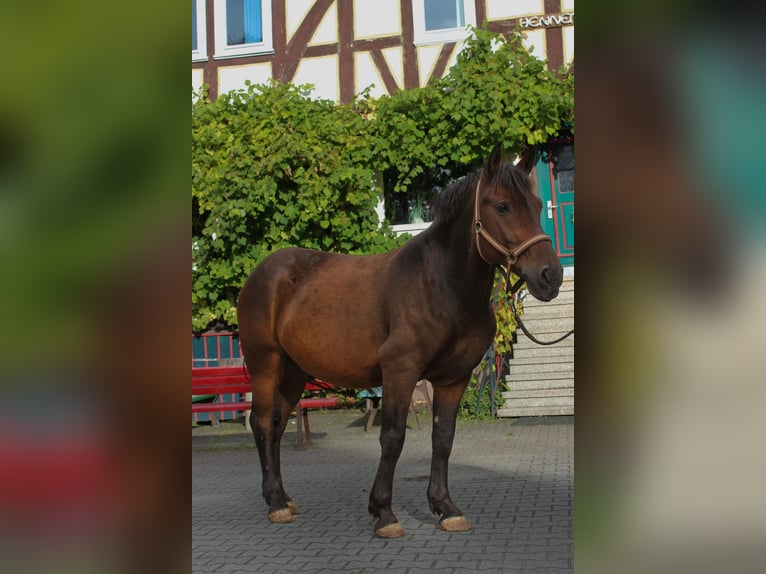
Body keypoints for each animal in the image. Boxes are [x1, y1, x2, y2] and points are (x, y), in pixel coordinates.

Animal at [236, 145, 564, 540]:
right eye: (502, 206)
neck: (440, 285)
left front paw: (445, 508)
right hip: (265, 364)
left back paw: (283, 498)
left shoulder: (454, 379)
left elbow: (443, 438)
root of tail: (262, 272)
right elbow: (392, 438)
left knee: (279, 424)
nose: (550, 276)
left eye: (536, 203)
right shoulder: (400, 371)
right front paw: (384, 513)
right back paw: (276, 504)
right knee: (263, 424)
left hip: (294, 371)